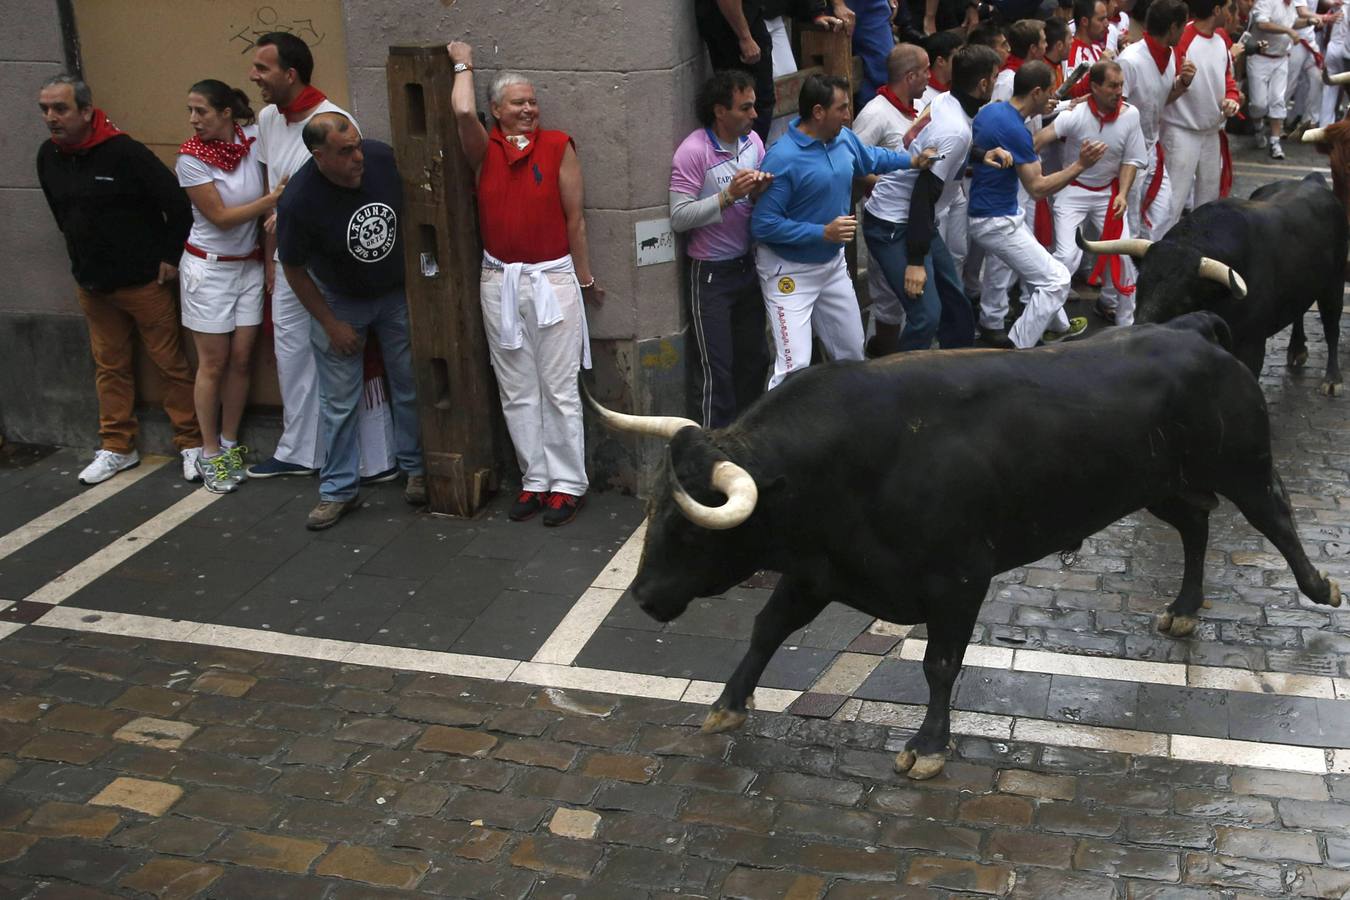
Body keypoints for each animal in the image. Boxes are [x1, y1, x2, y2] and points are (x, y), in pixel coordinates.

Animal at [588, 315, 1339, 782]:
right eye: (653, 514)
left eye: (691, 528)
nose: (645, 597)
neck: (848, 463)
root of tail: (1190, 329)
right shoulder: (815, 571)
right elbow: (767, 630)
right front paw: (727, 704)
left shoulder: (958, 579)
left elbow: (940, 663)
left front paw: (927, 747)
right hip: (1157, 483)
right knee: (1194, 525)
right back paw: (1185, 606)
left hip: (1241, 463)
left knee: (1274, 516)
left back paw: (1319, 586)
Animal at [1080, 174, 1344, 396]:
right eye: (1140, 286)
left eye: (1185, 299)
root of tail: (1312, 181)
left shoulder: (1252, 345)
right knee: (1299, 310)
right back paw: (1297, 349)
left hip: (1334, 285)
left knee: (1332, 326)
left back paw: (1333, 379)